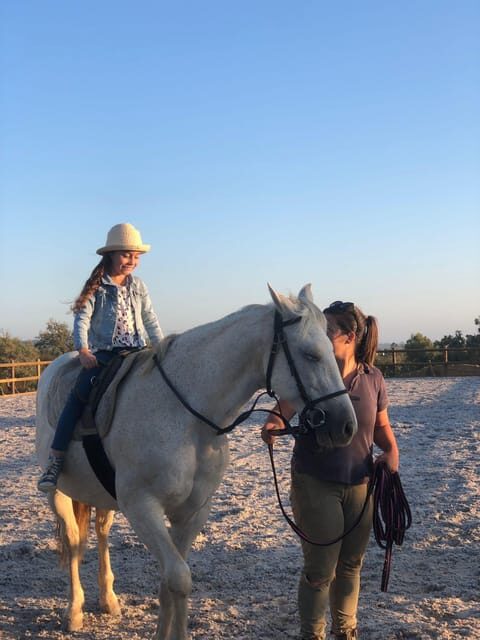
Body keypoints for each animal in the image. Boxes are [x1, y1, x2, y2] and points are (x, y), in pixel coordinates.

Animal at [35, 284, 358, 639]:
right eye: (310, 354)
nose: (346, 426)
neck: (187, 416)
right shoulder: (142, 507)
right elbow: (179, 578)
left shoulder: (192, 511)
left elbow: (171, 583)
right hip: (58, 494)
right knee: (74, 541)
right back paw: (74, 611)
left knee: (101, 533)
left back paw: (108, 600)